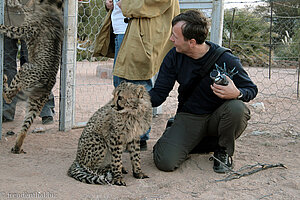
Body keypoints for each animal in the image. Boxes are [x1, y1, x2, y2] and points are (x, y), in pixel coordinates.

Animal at [0, 0, 63, 154]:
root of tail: (48, 84)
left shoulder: (24, 30)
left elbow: (9, 28)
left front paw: (0, 26)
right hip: (34, 104)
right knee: (25, 128)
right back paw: (16, 147)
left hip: (25, 68)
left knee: (9, 96)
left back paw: (4, 80)